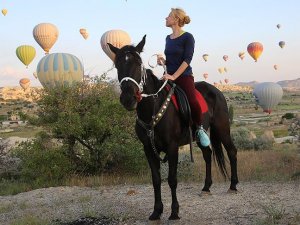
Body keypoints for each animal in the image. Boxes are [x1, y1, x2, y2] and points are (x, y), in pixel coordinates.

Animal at [109, 36, 238, 221]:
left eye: (138, 63)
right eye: (117, 65)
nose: (128, 98)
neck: (153, 108)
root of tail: (217, 91)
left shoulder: (172, 147)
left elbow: (172, 179)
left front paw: (174, 212)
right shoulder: (148, 149)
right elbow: (156, 179)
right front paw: (157, 211)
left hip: (222, 128)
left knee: (232, 151)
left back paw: (233, 185)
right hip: (199, 136)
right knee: (207, 154)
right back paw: (206, 187)